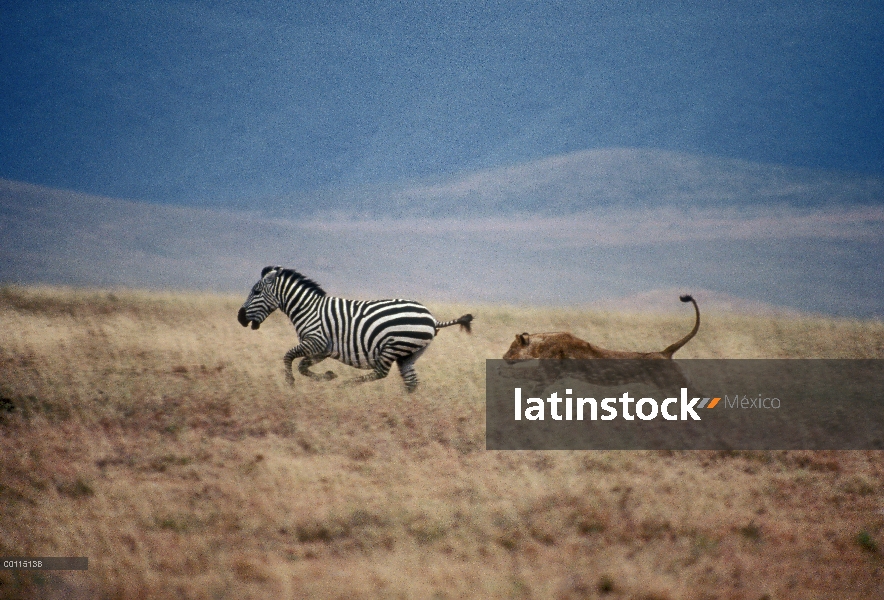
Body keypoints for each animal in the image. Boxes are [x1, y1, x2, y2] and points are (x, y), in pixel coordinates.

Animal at [235, 264, 470, 392]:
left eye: (256, 292)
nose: (240, 318)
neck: (307, 308)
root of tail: (432, 318)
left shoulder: (315, 341)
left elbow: (288, 357)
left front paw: (290, 383)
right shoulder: (322, 349)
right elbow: (302, 366)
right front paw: (328, 376)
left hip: (394, 346)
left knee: (381, 372)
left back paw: (347, 385)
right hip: (409, 354)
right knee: (411, 382)